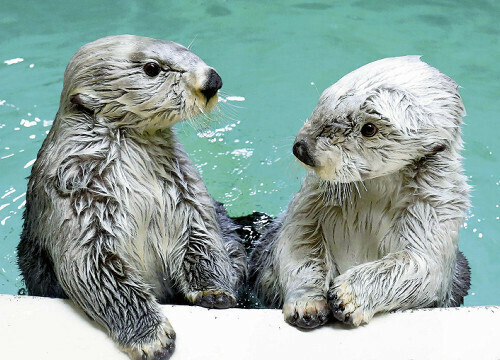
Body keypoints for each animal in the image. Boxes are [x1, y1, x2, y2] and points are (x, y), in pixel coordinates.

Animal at [250, 55, 472, 330]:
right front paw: (307, 304)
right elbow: (298, 243)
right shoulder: (311, 200)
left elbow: (420, 266)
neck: (374, 194)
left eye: (369, 129)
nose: (301, 147)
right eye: (323, 102)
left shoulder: (435, 210)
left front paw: (347, 296)